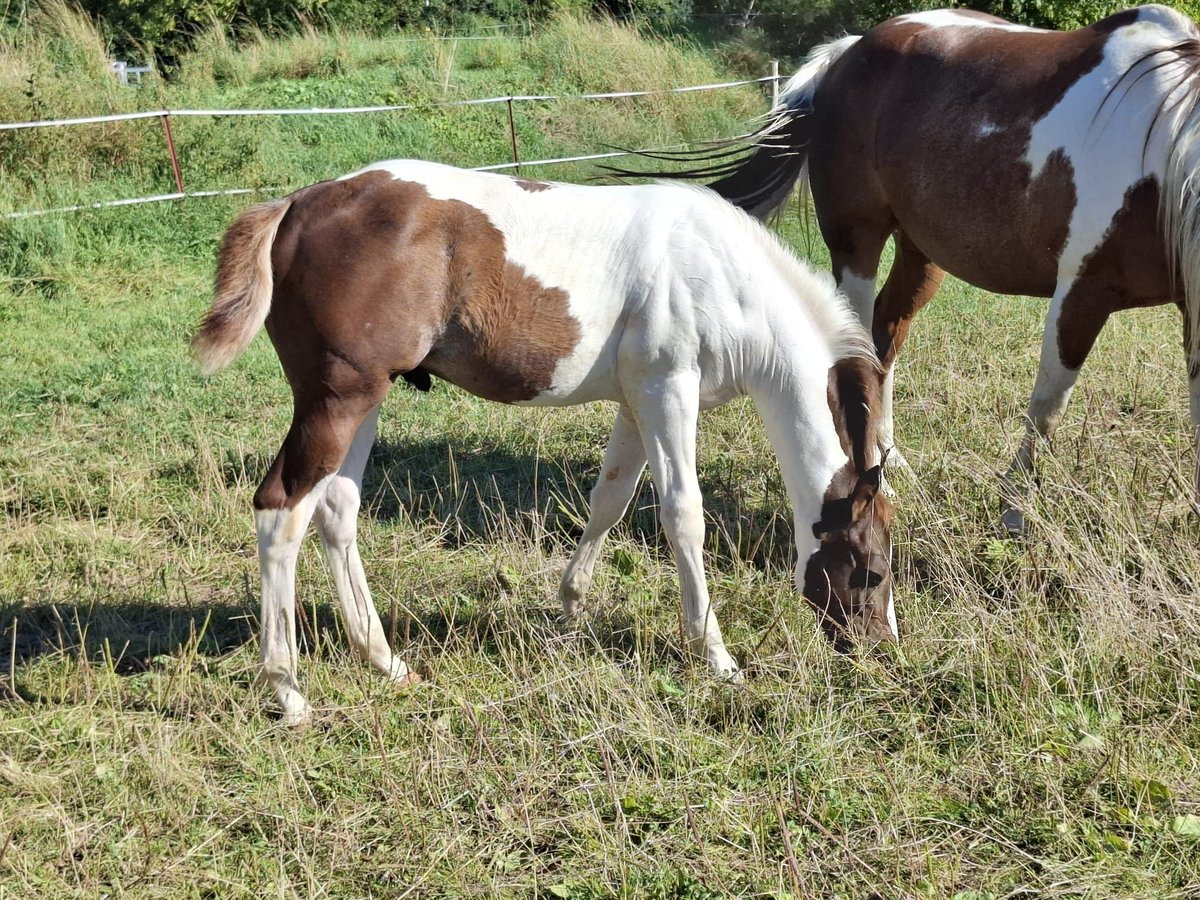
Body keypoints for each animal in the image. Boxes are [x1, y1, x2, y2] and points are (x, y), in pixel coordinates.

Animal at [194, 160, 892, 724]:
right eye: (874, 572)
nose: (880, 653)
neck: (718, 275)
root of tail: (295, 206)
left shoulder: (636, 404)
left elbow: (609, 500)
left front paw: (570, 610)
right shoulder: (668, 390)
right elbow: (683, 514)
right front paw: (715, 654)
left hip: (365, 397)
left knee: (337, 509)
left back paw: (384, 661)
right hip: (336, 400)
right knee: (281, 511)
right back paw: (288, 690)